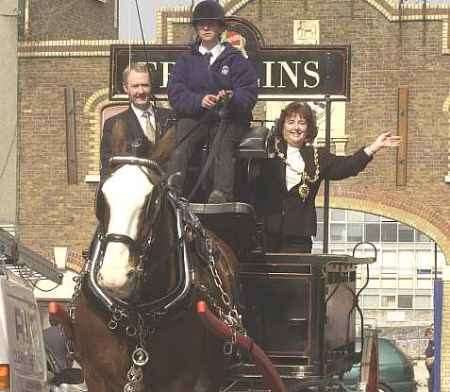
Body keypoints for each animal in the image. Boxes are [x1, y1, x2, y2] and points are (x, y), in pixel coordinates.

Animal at [67, 119, 239, 392]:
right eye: (101, 196)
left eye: (153, 200)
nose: (115, 276)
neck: (136, 316)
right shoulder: (95, 375)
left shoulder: (181, 379)